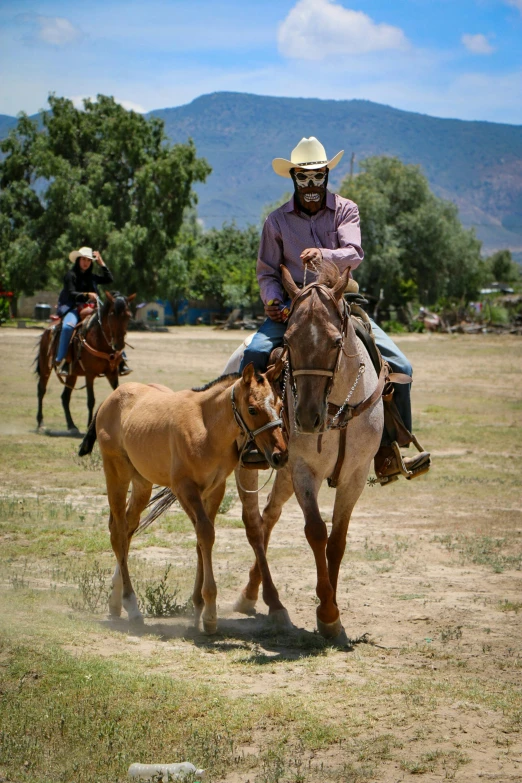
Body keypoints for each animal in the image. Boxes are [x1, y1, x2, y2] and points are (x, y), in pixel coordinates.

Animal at [35, 290, 134, 434]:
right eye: (111, 314)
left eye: (128, 315)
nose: (118, 345)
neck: (99, 340)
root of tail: (48, 329)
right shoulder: (89, 374)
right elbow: (91, 400)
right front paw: (89, 426)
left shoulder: (112, 373)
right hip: (45, 367)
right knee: (41, 390)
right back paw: (41, 424)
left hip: (72, 375)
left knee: (65, 397)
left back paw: (72, 426)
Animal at [77, 364, 286, 632]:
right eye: (252, 409)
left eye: (280, 405)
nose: (281, 455)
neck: (207, 428)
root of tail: (108, 400)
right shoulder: (184, 488)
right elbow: (205, 533)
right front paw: (209, 613)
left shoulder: (214, 489)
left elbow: (201, 539)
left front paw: (198, 607)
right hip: (116, 473)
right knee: (118, 532)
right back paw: (131, 605)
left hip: (142, 483)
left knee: (127, 528)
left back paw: (115, 601)